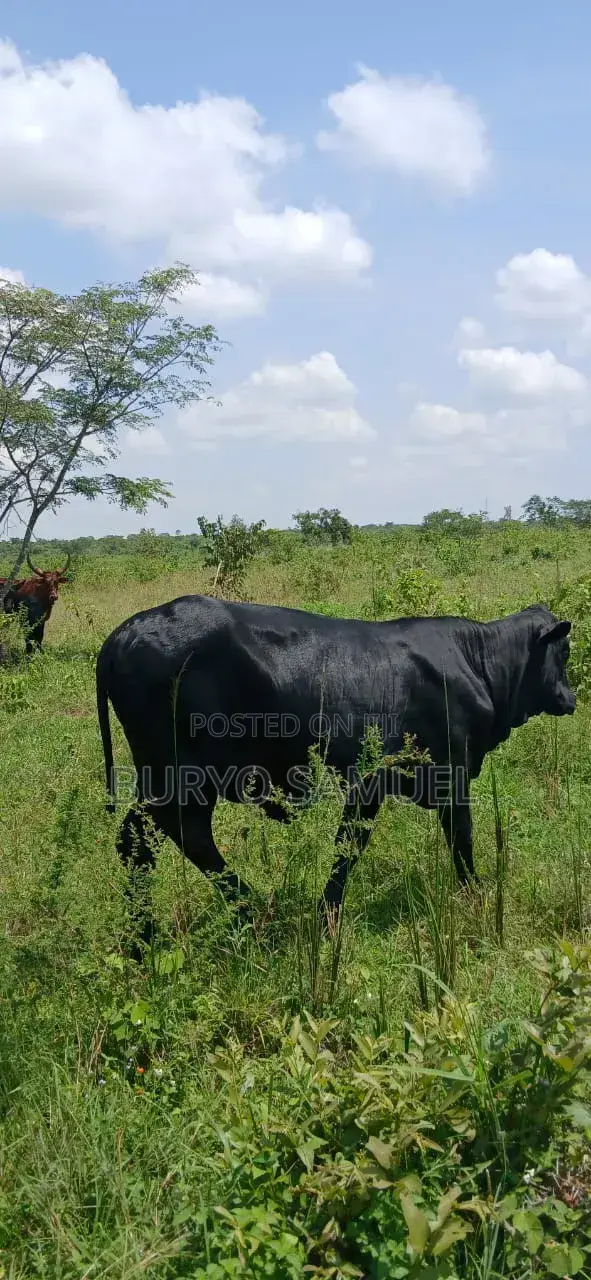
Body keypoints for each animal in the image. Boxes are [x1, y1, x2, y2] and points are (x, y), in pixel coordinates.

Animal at [96, 596, 575, 944]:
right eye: (566, 651)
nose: (570, 699)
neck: (475, 662)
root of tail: (124, 633)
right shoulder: (431, 776)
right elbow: (451, 840)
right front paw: (473, 895)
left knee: (142, 842)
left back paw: (146, 935)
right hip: (185, 776)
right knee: (175, 837)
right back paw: (243, 909)